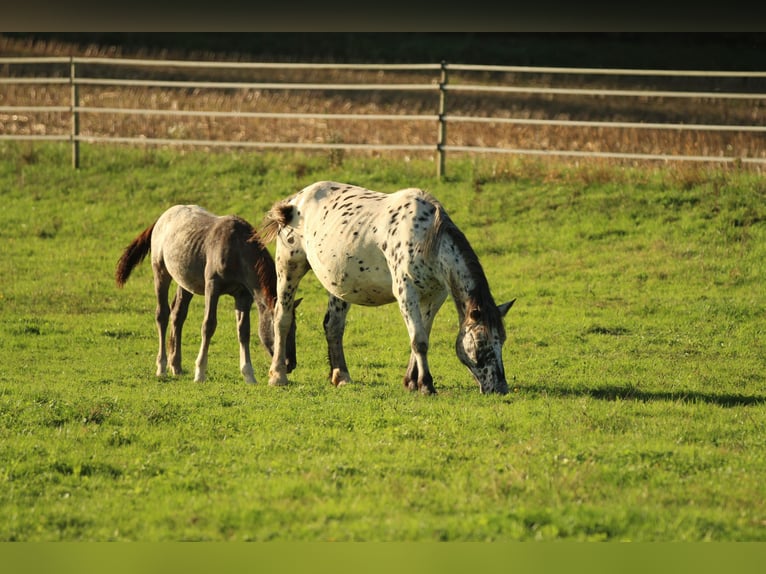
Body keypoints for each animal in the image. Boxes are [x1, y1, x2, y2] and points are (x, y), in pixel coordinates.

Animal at [115, 205, 298, 384]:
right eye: (277, 329)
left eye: (294, 328)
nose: (290, 363)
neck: (237, 250)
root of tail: (162, 218)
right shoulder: (212, 287)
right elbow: (208, 325)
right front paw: (200, 373)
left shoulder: (243, 295)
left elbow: (243, 331)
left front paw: (249, 375)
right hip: (160, 272)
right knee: (162, 315)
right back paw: (162, 367)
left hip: (185, 282)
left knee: (178, 315)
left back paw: (176, 366)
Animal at [260, 181, 520, 396]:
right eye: (480, 343)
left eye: (502, 340)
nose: (500, 388)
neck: (426, 236)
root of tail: (295, 200)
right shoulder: (406, 292)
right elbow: (419, 340)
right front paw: (426, 385)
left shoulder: (434, 297)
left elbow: (422, 335)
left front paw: (411, 382)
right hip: (289, 267)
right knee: (282, 318)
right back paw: (278, 376)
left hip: (338, 286)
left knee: (333, 326)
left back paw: (341, 376)